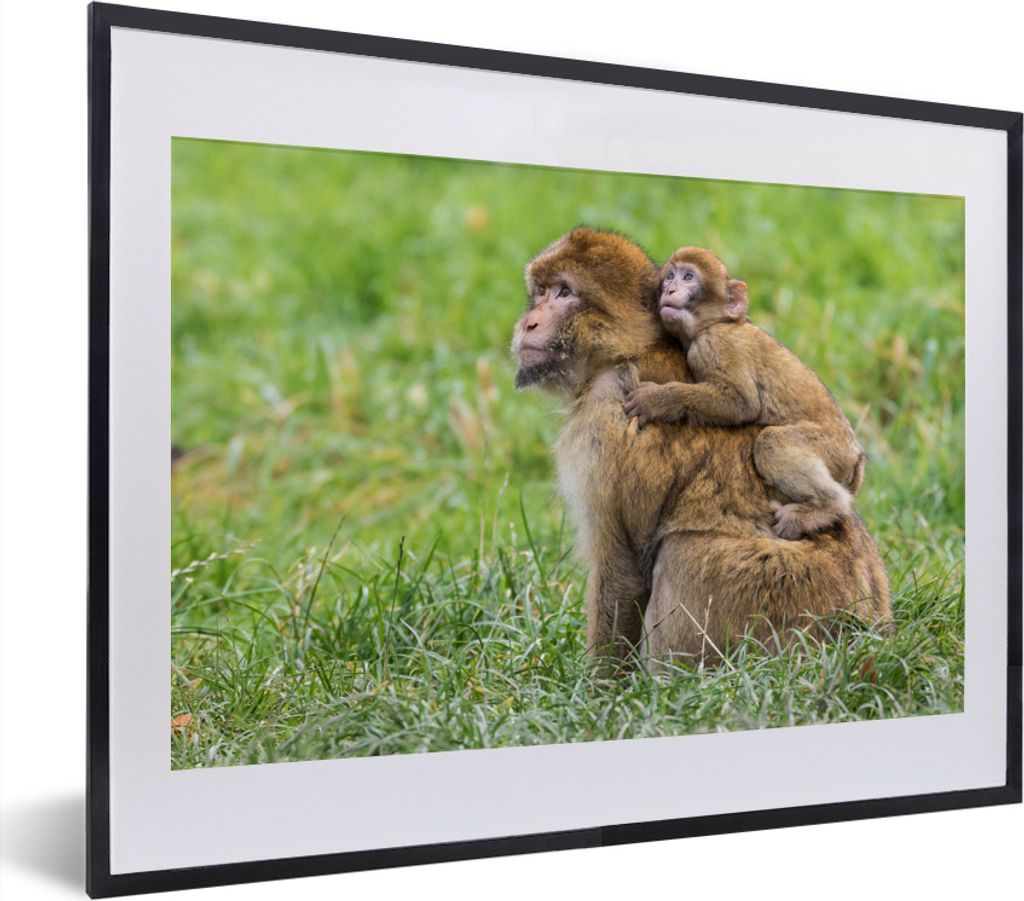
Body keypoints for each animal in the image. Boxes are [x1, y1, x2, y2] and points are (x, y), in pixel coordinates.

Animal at [622, 247, 866, 541]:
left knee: (772, 442)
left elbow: (742, 404)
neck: (715, 323)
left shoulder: (714, 346)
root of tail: (856, 455)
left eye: (688, 277)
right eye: (670, 276)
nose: (669, 289)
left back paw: (826, 508)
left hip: (831, 448)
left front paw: (658, 400)